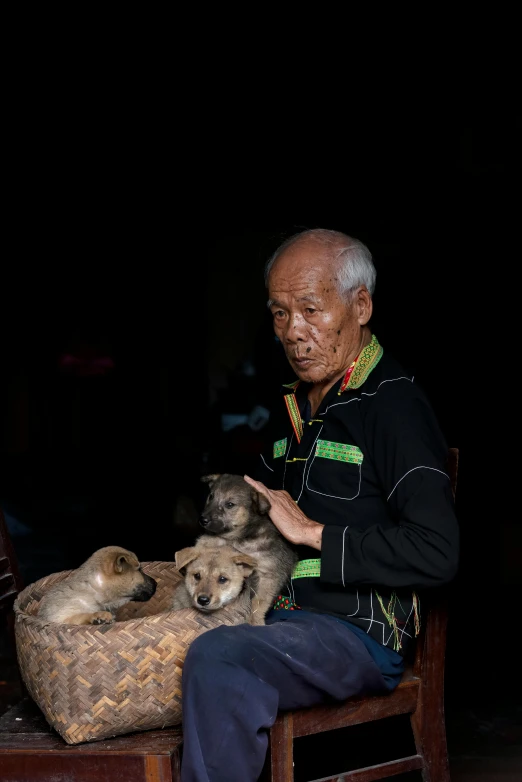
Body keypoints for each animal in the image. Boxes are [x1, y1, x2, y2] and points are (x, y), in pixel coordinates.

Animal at [195, 474, 296, 628]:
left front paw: (256, 621)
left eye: (230, 504)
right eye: (211, 496)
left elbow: (259, 602)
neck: (239, 539)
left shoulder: (269, 575)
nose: (202, 519)